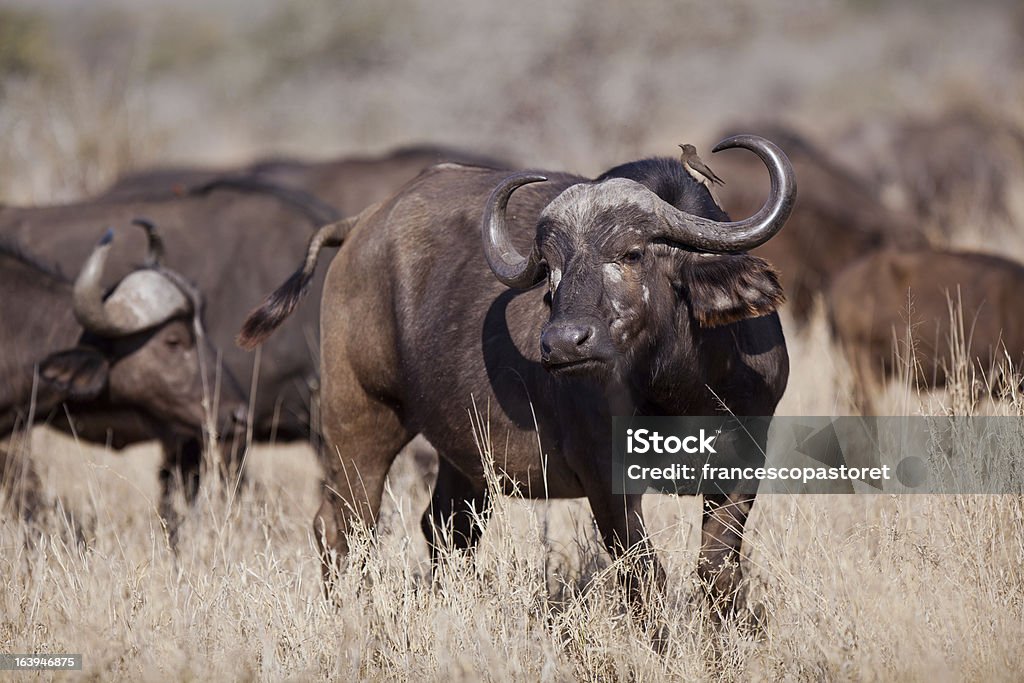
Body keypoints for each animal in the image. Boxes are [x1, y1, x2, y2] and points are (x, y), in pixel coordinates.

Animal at [241, 135, 798, 630]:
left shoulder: (743, 467)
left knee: (445, 528)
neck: (677, 390)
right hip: (358, 419)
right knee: (342, 526)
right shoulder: (605, 479)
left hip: (462, 455)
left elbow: (716, 571)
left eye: (633, 253)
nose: (563, 343)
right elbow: (644, 576)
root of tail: (361, 224)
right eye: (551, 268)